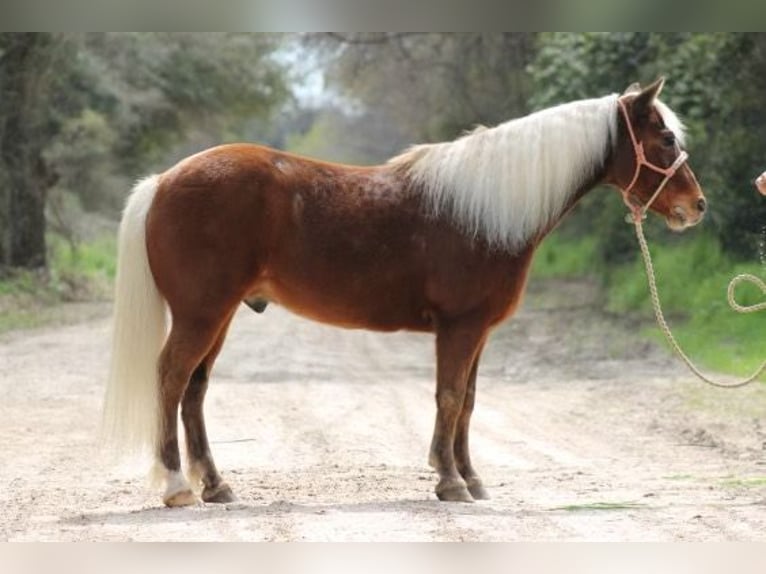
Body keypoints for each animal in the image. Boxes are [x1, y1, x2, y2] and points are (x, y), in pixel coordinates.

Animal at [102, 77, 708, 508]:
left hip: (220, 316)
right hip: (201, 314)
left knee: (195, 390)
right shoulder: (459, 327)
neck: (488, 207)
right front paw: (450, 482)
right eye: (665, 138)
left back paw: (217, 486)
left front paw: (471, 478)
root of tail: (163, 181)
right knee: (171, 378)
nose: (696, 207)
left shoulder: (478, 332)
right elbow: (448, 397)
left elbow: (468, 401)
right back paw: (177, 487)